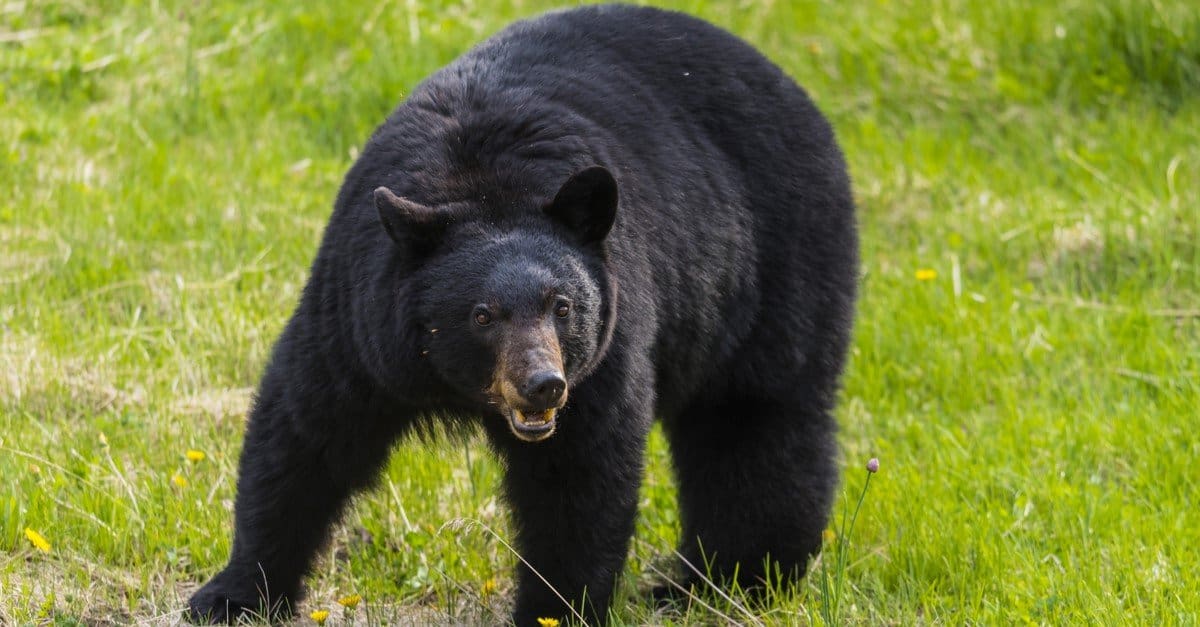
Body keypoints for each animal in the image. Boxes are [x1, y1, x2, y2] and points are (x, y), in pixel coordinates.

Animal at [187, 4, 857, 625]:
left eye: (562, 307)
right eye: (482, 315)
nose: (543, 384)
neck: (480, 183)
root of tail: (792, 88)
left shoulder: (607, 349)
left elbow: (579, 479)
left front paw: (552, 609)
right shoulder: (357, 314)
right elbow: (306, 435)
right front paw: (231, 594)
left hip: (776, 267)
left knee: (756, 423)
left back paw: (729, 580)